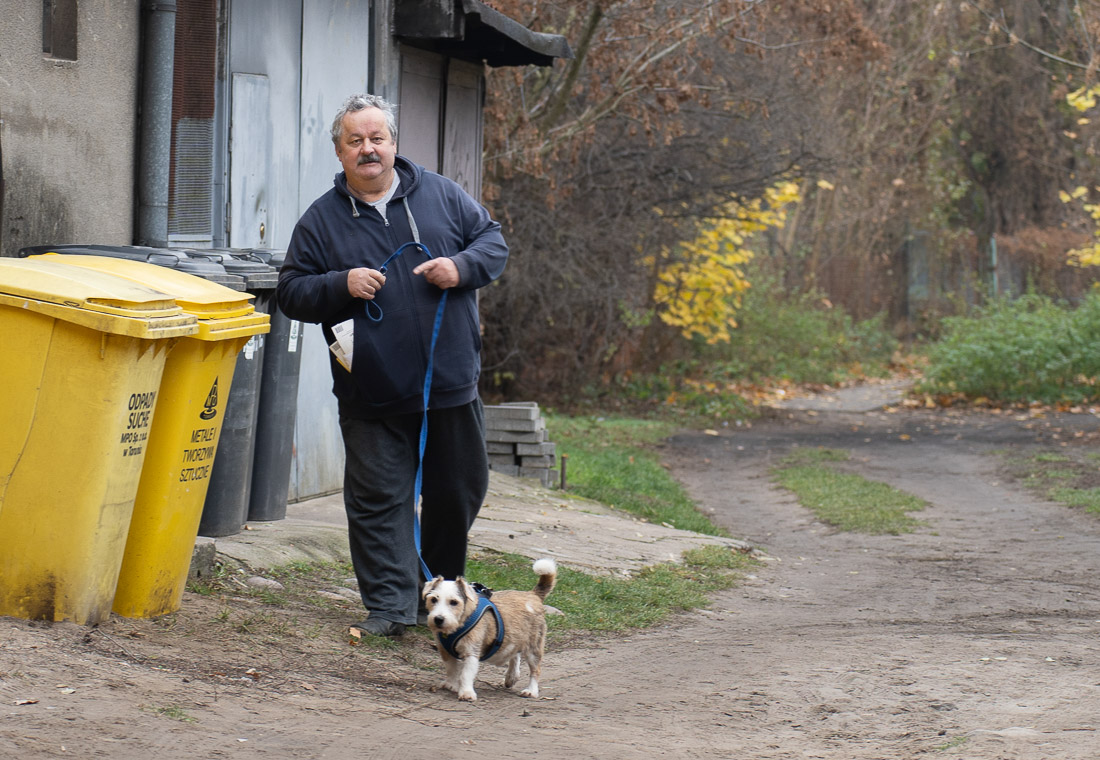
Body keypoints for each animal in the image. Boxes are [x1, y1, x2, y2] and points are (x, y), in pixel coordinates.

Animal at [422, 558, 557, 702]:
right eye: (433, 599)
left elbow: (465, 674)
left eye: (454, 602)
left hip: (534, 646)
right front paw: (451, 684)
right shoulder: (445, 651)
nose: (438, 619)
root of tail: (533, 595)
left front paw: (466, 692)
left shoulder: (472, 652)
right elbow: (451, 669)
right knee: (515, 654)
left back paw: (531, 690)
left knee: (535, 670)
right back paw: (511, 676)